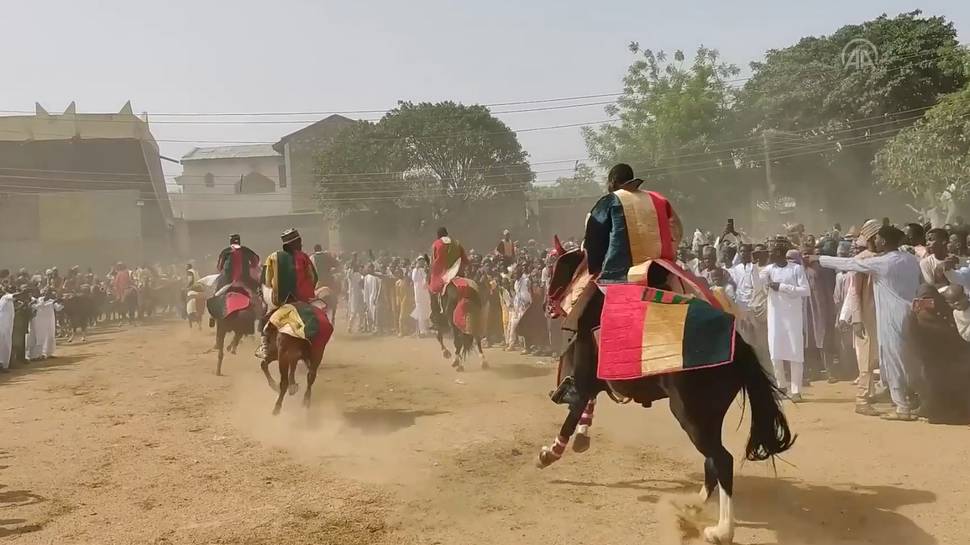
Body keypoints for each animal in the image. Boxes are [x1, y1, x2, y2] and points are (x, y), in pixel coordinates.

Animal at [540, 248, 792, 544]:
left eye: (556, 269)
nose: (547, 305)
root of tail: (738, 346)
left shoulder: (585, 380)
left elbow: (572, 413)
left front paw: (549, 453)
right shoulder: (594, 384)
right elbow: (583, 408)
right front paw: (580, 437)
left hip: (690, 415)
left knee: (722, 460)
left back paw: (721, 530)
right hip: (707, 417)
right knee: (713, 461)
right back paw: (695, 503)